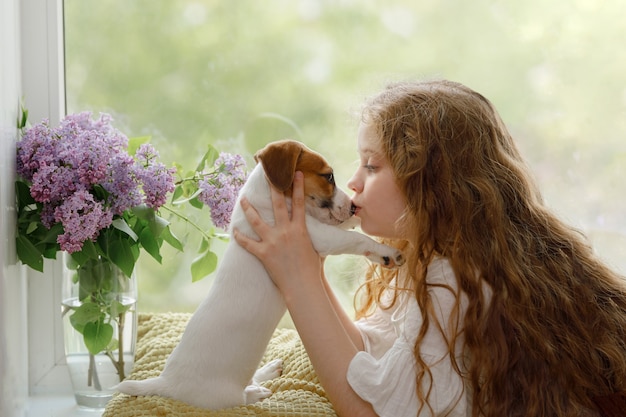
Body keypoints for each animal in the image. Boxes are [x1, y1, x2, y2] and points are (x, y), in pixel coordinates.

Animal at [116, 139, 404, 406]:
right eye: (328, 176)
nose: (354, 206)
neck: (267, 200)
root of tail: (166, 383)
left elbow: (348, 229)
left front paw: (362, 222)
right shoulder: (319, 237)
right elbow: (355, 240)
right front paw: (387, 251)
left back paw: (267, 371)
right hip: (220, 397)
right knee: (241, 397)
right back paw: (255, 391)